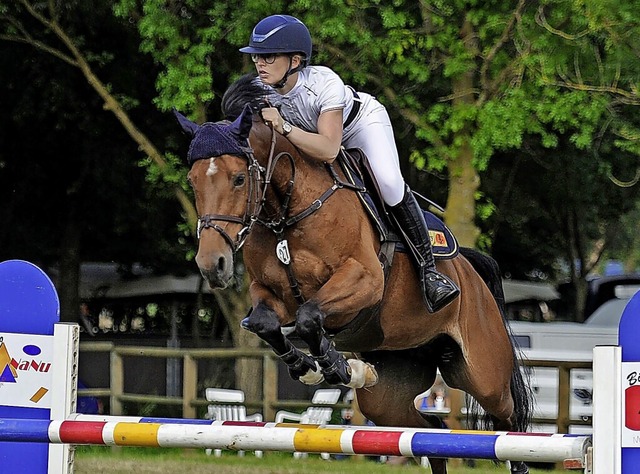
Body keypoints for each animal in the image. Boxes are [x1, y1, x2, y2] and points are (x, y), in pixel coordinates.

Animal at [174, 76, 528, 472]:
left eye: (238, 179)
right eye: (193, 180)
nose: (212, 264)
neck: (287, 212)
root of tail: (471, 274)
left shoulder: (364, 281)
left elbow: (309, 316)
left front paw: (336, 366)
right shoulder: (270, 293)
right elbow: (269, 324)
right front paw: (313, 366)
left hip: (483, 375)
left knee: (509, 422)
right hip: (392, 388)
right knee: (428, 430)